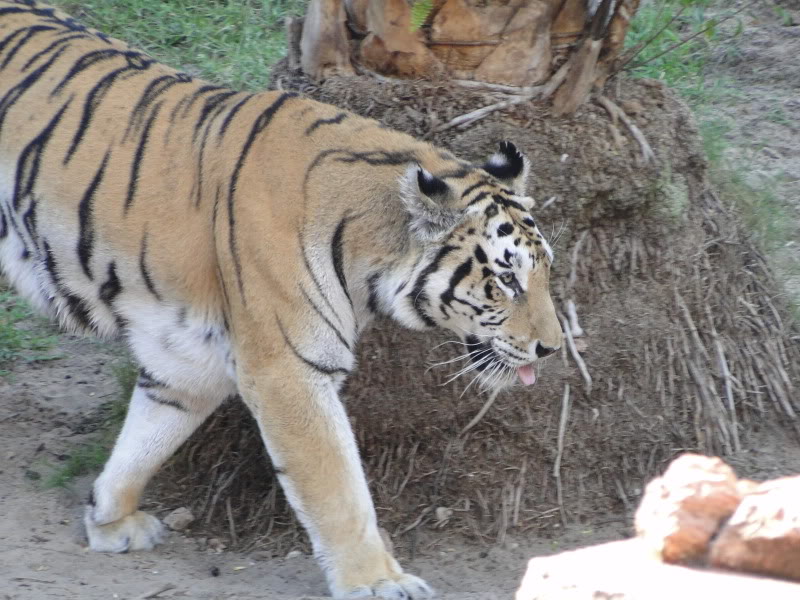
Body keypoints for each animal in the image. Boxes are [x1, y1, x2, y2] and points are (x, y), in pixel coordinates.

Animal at [0, 2, 564, 596]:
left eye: (544, 272)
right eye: (507, 279)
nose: (553, 348)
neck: (367, 251)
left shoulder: (187, 359)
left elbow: (148, 436)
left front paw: (110, 519)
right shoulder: (287, 371)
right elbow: (338, 489)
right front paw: (377, 580)